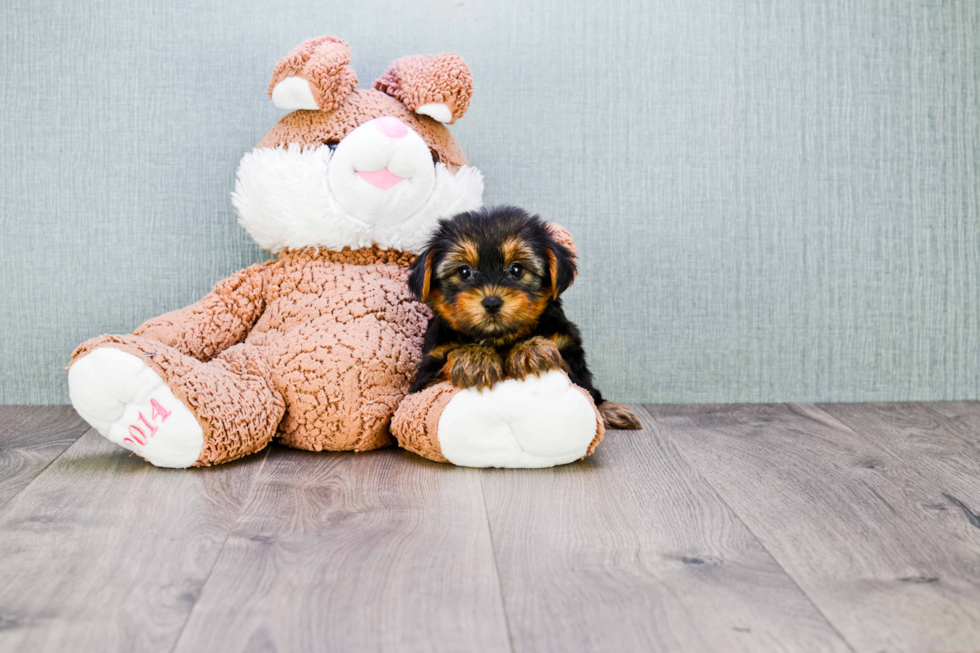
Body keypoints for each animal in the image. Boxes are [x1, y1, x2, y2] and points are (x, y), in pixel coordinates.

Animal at [408, 204, 644, 428]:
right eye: (464, 272)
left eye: (517, 270)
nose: (492, 302)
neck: (499, 340)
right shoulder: (425, 376)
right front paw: (473, 358)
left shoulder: (569, 353)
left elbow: (573, 376)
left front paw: (531, 349)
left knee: (594, 394)